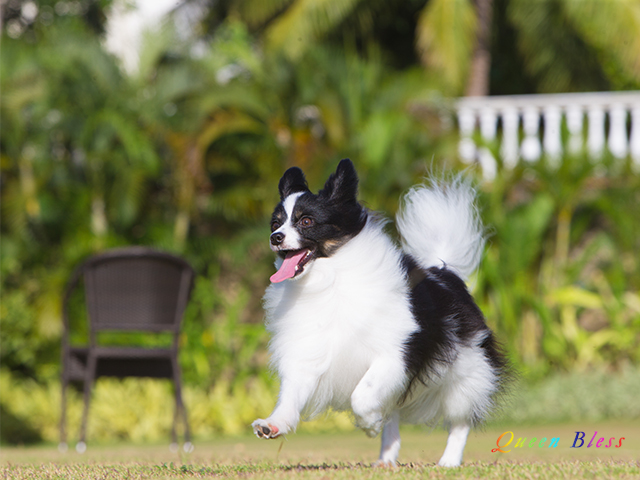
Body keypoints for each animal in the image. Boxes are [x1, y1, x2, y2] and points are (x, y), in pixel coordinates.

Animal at [250, 160, 504, 464]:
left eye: (306, 221)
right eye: (276, 224)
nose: (275, 238)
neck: (329, 278)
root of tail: (443, 272)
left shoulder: (395, 354)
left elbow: (362, 395)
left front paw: (369, 424)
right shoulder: (308, 352)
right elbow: (290, 396)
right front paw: (273, 424)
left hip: (467, 372)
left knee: (461, 418)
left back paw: (449, 461)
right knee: (394, 414)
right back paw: (386, 460)